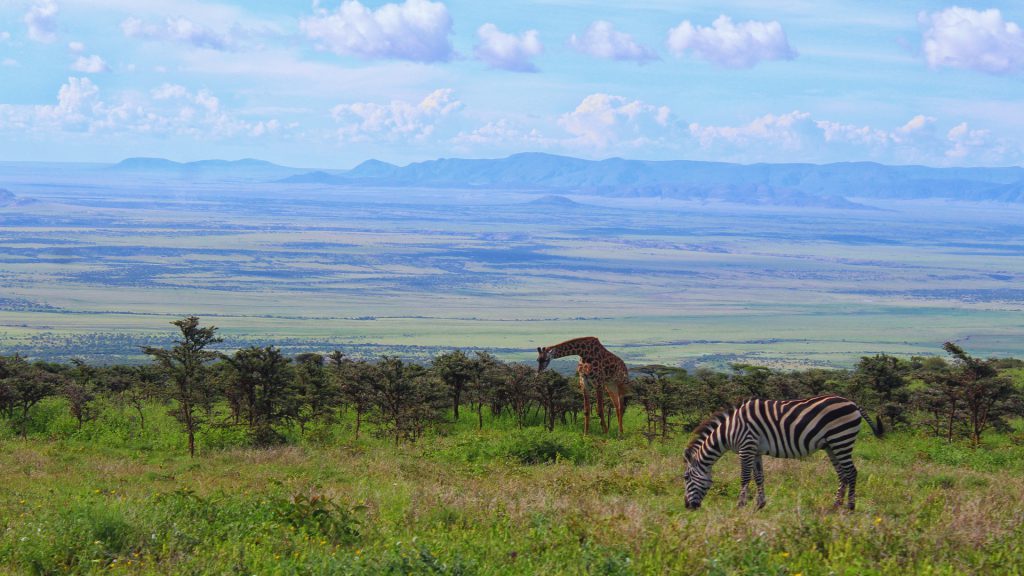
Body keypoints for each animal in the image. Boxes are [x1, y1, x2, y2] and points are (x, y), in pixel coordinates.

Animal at [683, 395, 883, 511]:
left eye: (686, 478)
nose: (687, 507)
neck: (729, 430)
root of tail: (853, 403)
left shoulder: (746, 447)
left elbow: (745, 477)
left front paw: (740, 505)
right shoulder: (755, 451)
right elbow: (759, 477)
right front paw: (760, 504)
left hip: (841, 439)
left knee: (851, 472)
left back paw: (850, 506)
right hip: (831, 445)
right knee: (842, 473)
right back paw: (835, 505)